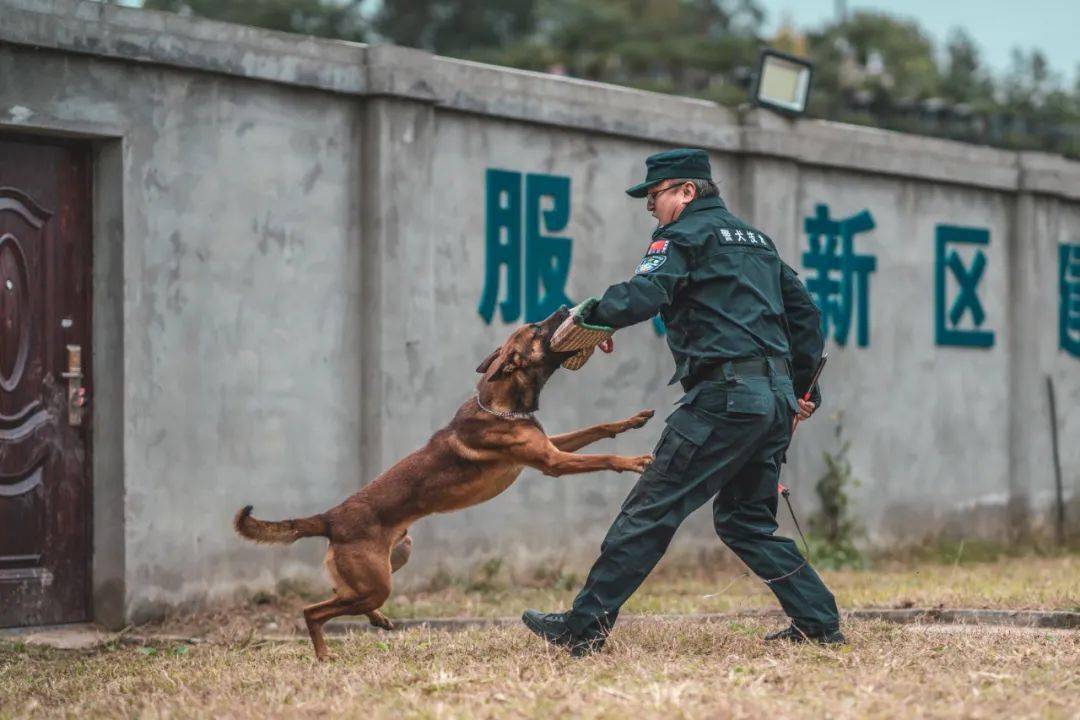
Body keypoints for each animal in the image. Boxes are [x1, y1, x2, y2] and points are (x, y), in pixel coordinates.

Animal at [233, 306, 652, 660]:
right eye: (536, 329)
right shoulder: (553, 462)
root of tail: (331, 517)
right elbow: (603, 458)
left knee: (342, 595)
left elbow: (597, 429)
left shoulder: (551, 447)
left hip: (393, 560)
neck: (500, 405)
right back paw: (323, 654)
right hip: (377, 581)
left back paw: (377, 620)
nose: (565, 308)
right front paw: (635, 461)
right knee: (313, 611)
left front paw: (632, 420)